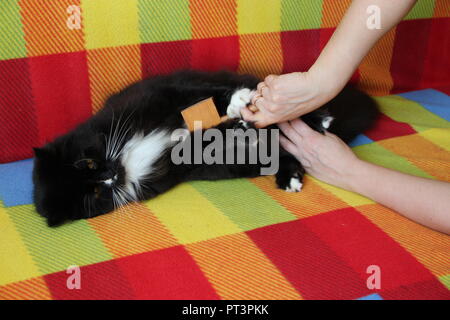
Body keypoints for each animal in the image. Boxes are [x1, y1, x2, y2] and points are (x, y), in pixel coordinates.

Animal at [31, 70, 378, 225]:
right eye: (93, 193)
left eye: (86, 163)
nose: (110, 176)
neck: (125, 156)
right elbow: (207, 136)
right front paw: (237, 126)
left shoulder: (163, 94)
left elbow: (208, 96)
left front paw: (238, 104)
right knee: (282, 151)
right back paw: (288, 176)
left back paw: (319, 119)